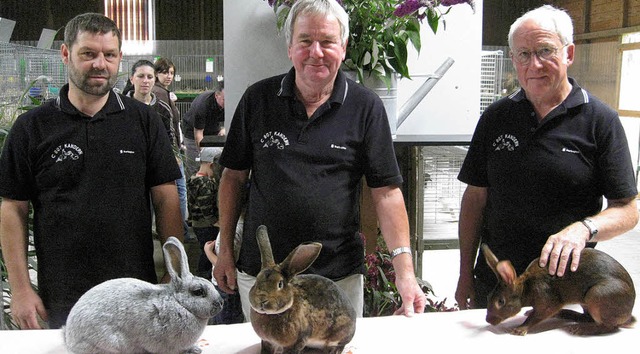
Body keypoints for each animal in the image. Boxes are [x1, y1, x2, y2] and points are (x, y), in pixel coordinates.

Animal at [484, 243, 636, 334]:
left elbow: (535, 317)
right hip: (586, 301)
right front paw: (527, 314)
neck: (526, 288)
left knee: (608, 326)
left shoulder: (547, 303)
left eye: (500, 302)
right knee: (587, 317)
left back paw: (579, 330)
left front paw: (519, 330)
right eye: (488, 297)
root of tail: (628, 314)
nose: (488, 320)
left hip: (596, 295)